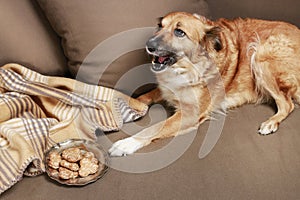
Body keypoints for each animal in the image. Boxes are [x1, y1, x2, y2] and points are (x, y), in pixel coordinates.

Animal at [108, 11, 300, 157]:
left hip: (259, 54)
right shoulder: (167, 88)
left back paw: (271, 123)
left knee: (287, 104)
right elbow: (144, 96)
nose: (148, 45)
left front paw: (126, 143)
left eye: (179, 32)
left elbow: (155, 128)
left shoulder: (190, 114)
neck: (186, 67)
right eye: (160, 26)